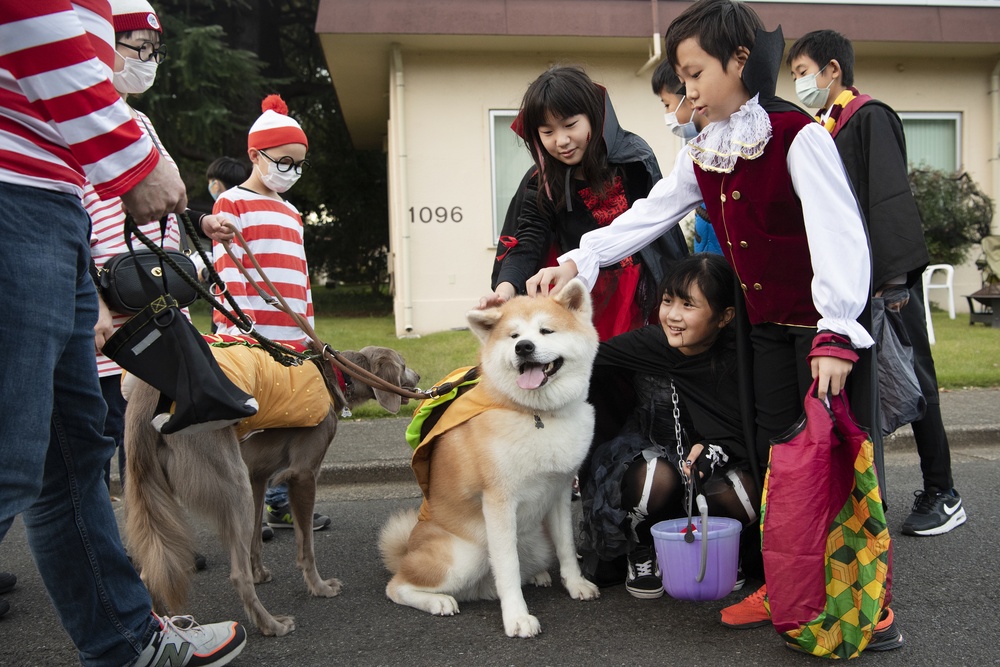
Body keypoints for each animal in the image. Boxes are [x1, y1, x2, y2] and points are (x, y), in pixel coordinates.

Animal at [380, 280, 600, 640]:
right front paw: (517, 618)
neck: (536, 415)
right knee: (397, 586)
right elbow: (507, 567)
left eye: (546, 331)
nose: (524, 347)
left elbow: (567, 546)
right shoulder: (498, 501)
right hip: (467, 555)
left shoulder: (559, 490)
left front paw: (576, 583)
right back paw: (438, 601)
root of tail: (407, 551)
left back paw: (536, 576)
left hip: (537, 544)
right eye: (513, 336)